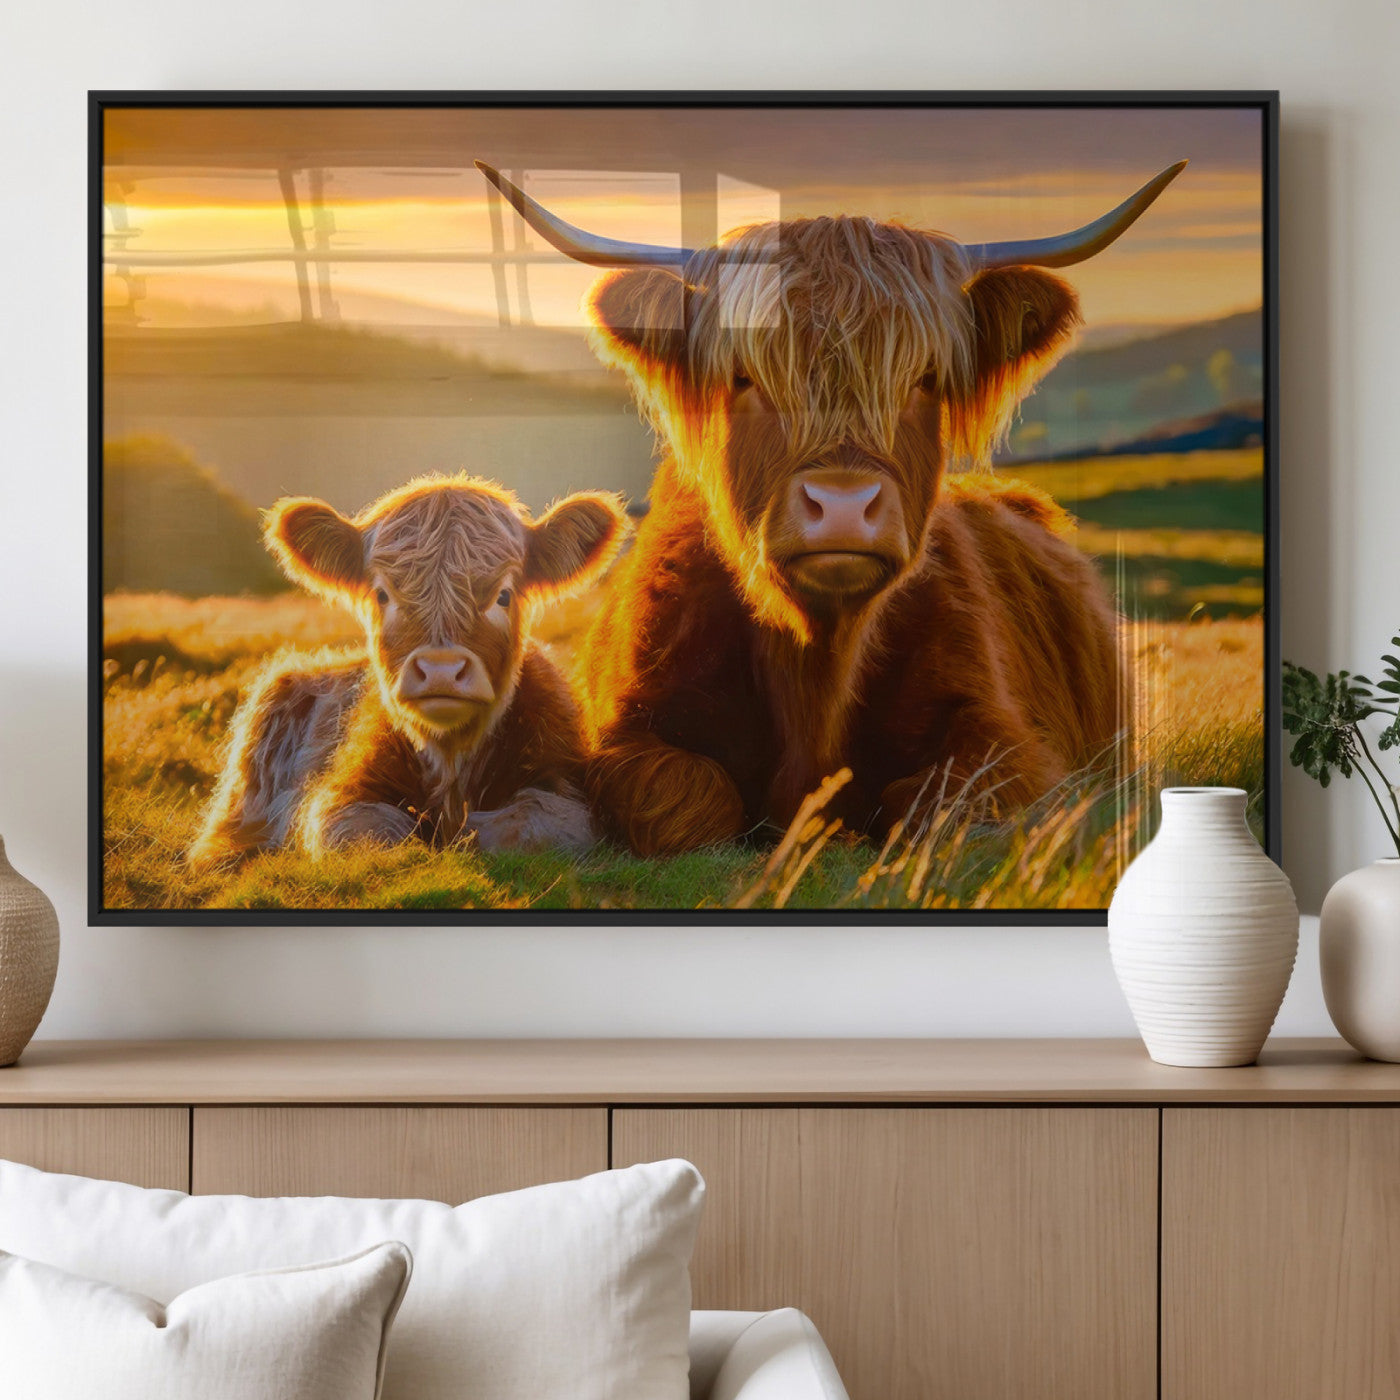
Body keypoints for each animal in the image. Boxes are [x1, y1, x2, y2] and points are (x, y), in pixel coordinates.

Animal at [188, 475, 629, 864]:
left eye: (503, 595)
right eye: (383, 594)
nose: (440, 671)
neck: (451, 763)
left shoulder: (566, 789)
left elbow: (527, 826)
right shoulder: (339, 797)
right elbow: (368, 834)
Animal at [475, 161, 1184, 858]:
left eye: (924, 378)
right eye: (744, 377)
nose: (843, 505)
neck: (814, 667)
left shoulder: (1007, 740)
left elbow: (931, 805)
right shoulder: (626, 733)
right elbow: (688, 800)